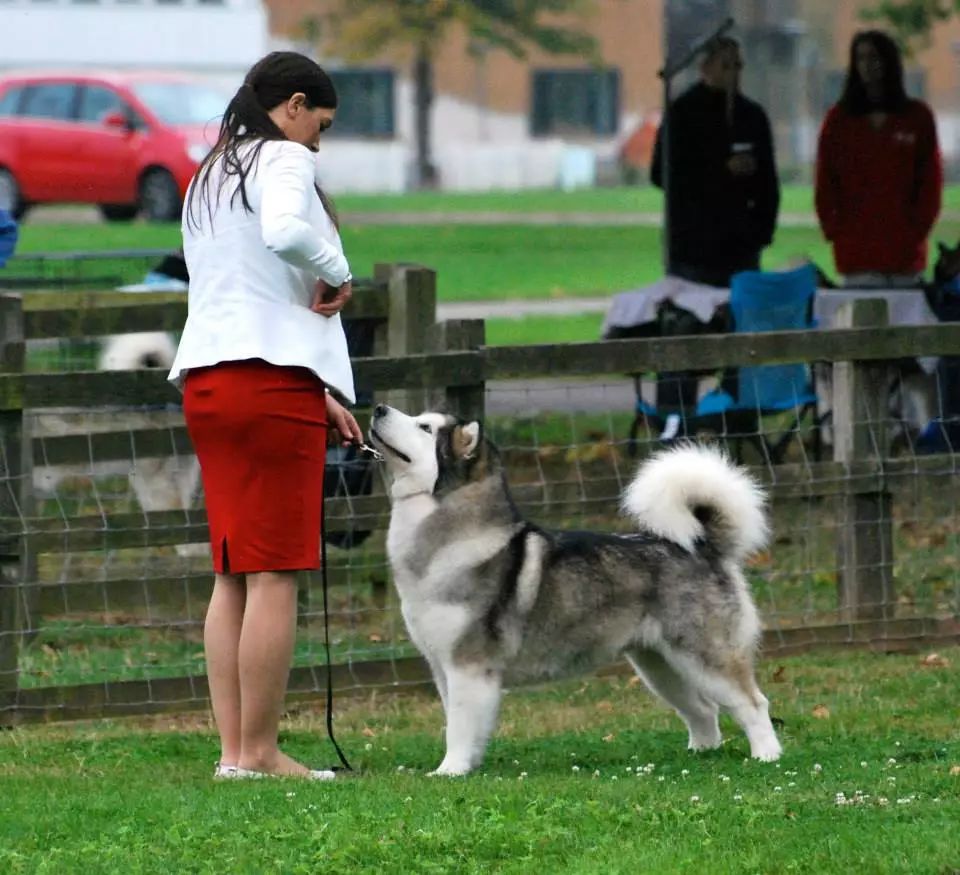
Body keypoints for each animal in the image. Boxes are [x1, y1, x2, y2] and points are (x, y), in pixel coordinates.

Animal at [368, 404, 780, 772]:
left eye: (424, 427)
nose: (377, 409)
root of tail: (702, 546)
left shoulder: (469, 666)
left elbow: (457, 728)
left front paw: (450, 771)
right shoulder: (444, 667)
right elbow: (459, 724)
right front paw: (467, 764)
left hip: (704, 655)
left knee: (753, 703)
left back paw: (767, 756)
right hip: (660, 665)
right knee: (703, 709)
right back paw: (699, 755)